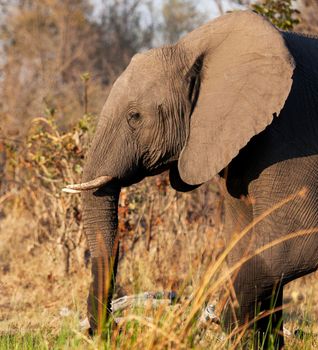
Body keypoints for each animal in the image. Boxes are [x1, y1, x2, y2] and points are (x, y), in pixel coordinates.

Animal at [63, 10, 318, 348]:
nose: (112, 330)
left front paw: (228, 325)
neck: (192, 48)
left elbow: (296, 243)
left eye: (134, 117)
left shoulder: (293, 138)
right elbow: (243, 243)